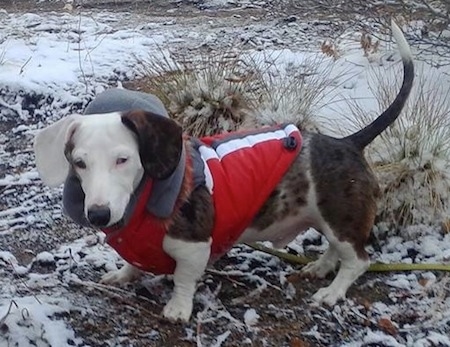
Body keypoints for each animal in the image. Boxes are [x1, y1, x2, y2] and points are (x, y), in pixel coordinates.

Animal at [33, 20, 414, 322]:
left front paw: (177, 308)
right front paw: (122, 274)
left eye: (123, 159)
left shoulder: (193, 247)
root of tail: (349, 143)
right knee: (337, 249)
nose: (98, 215)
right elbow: (133, 263)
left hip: (339, 215)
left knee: (357, 260)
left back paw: (333, 292)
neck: (144, 199)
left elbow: (184, 279)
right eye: (79, 162)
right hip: (330, 218)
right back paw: (320, 268)